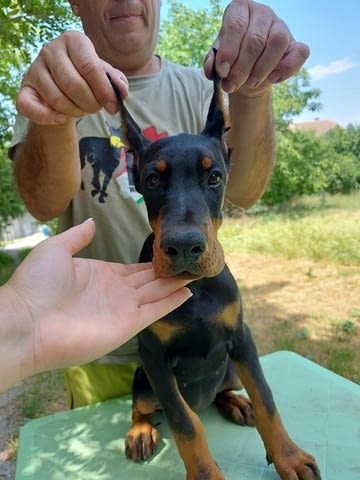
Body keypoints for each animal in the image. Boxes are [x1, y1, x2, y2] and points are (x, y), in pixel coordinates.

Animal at [108, 69, 322, 478]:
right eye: (152, 180)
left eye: (215, 178)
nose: (185, 247)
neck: (197, 289)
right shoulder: (154, 358)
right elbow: (184, 421)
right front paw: (205, 472)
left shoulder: (241, 337)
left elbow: (267, 397)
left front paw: (289, 456)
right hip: (143, 380)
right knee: (146, 407)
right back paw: (141, 431)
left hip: (230, 370)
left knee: (225, 392)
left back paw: (237, 404)